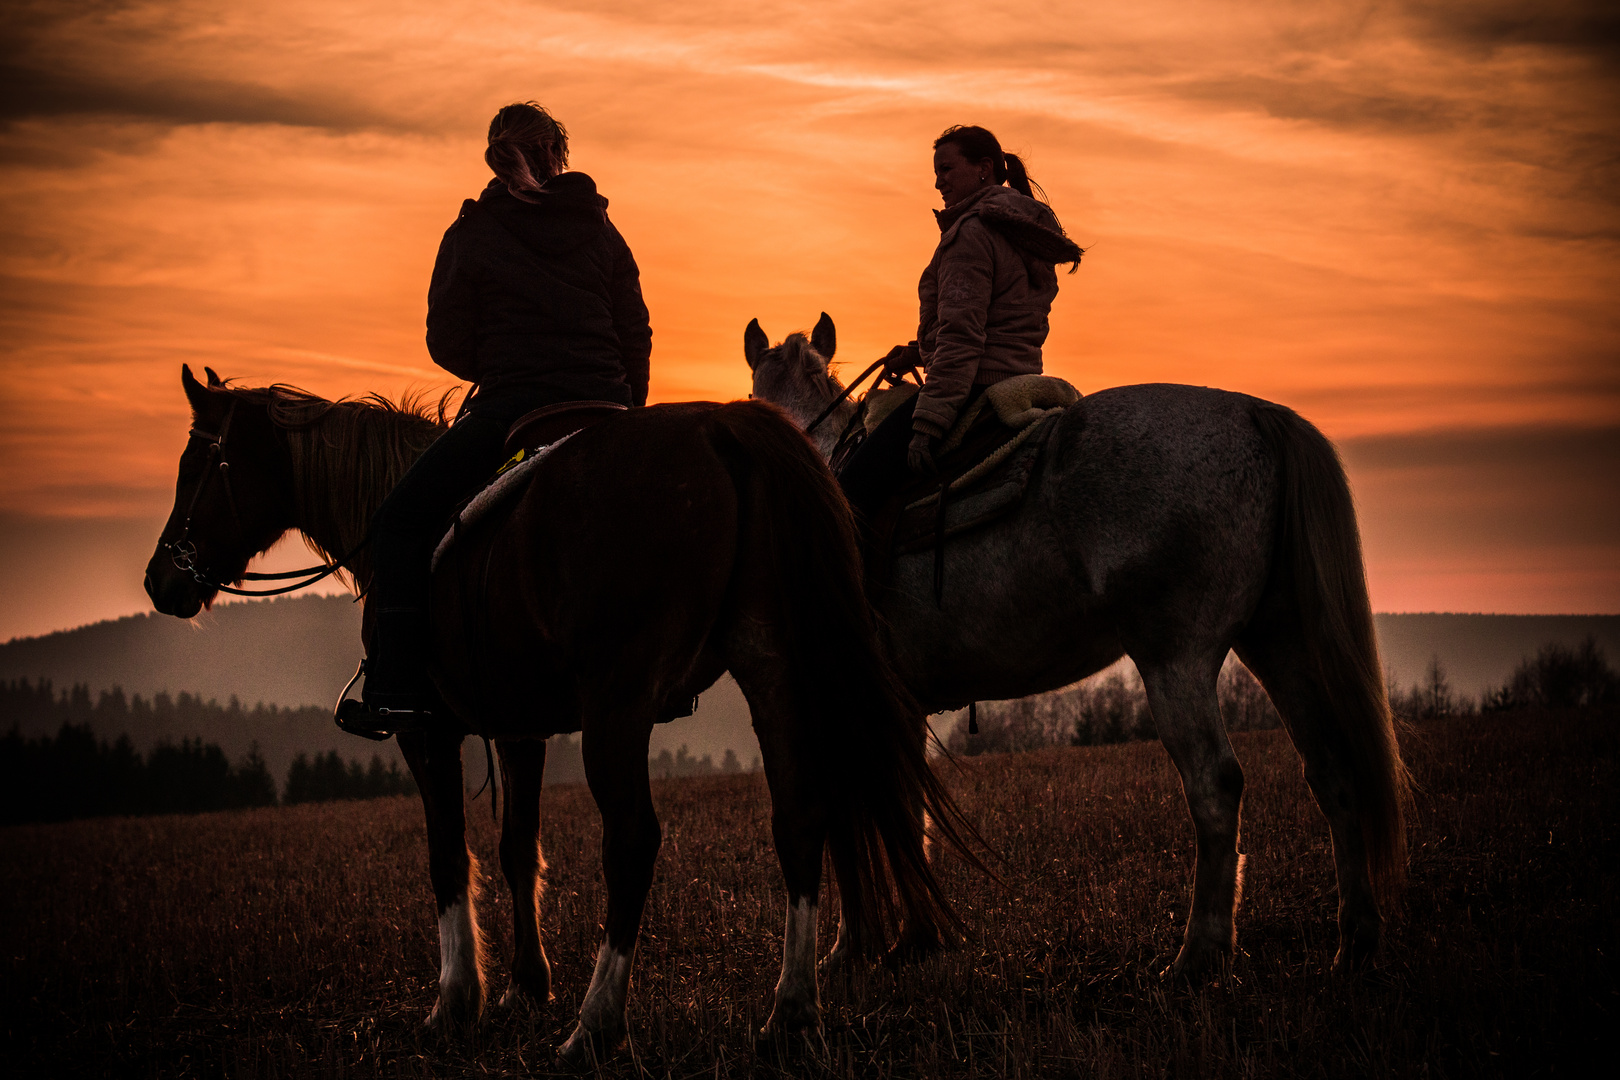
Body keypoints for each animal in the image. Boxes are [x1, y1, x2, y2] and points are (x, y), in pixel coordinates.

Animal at [145, 367, 965, 1062]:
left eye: (197, 465)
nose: (160, 581)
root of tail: (721, 428)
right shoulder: (520, 728)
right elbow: (516, 847)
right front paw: (525, 986)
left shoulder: (424, 731)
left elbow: (448, 855)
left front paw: (456, 1001)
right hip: (771, 668)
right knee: (798, 811)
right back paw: (790, 1010)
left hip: (619, 705)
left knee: (633, 840)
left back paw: (597, 1023)